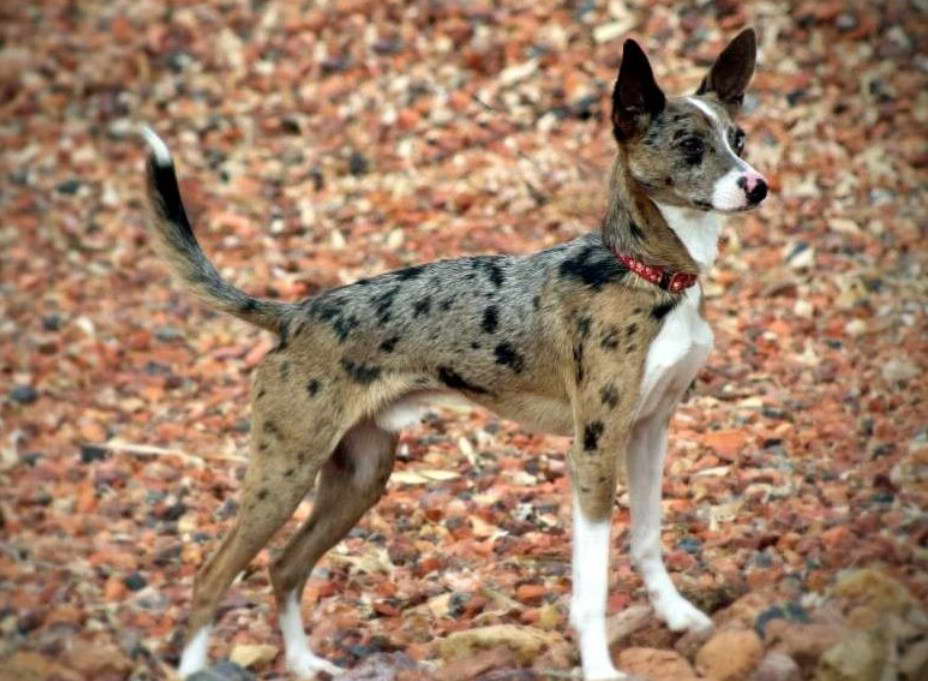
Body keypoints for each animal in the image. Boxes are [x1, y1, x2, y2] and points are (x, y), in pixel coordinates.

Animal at [143, 29, 768, 680]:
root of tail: (293, 315)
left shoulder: (649, 431)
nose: (758, 186)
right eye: (690, 146)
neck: (646, 276)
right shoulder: (594, 452)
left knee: (284, 567)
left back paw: (306, 662)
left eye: (739, 139)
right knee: (213, 575)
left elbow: (647, 539)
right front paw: (599, 666)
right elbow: (591, 589)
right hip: (285, 472)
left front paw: (676, 615)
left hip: (359, 476)